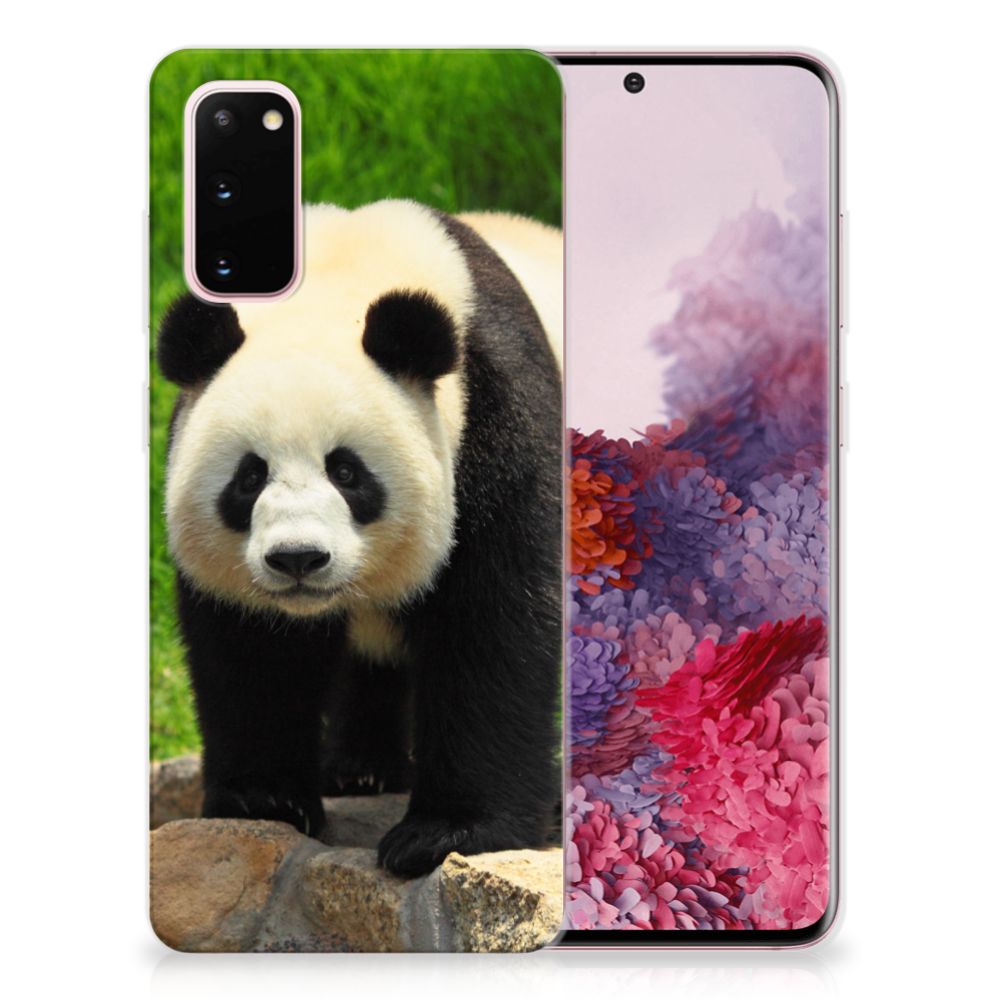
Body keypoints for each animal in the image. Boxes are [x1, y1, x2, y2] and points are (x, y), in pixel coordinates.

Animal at [157, 200, 562, 877]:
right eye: (249, 476)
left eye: (346, 472)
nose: (298, 558)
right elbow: (252, 650)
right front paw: (264, 800)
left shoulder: (498, 420)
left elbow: (495, 622)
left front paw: (445, 832)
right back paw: (360, 769)